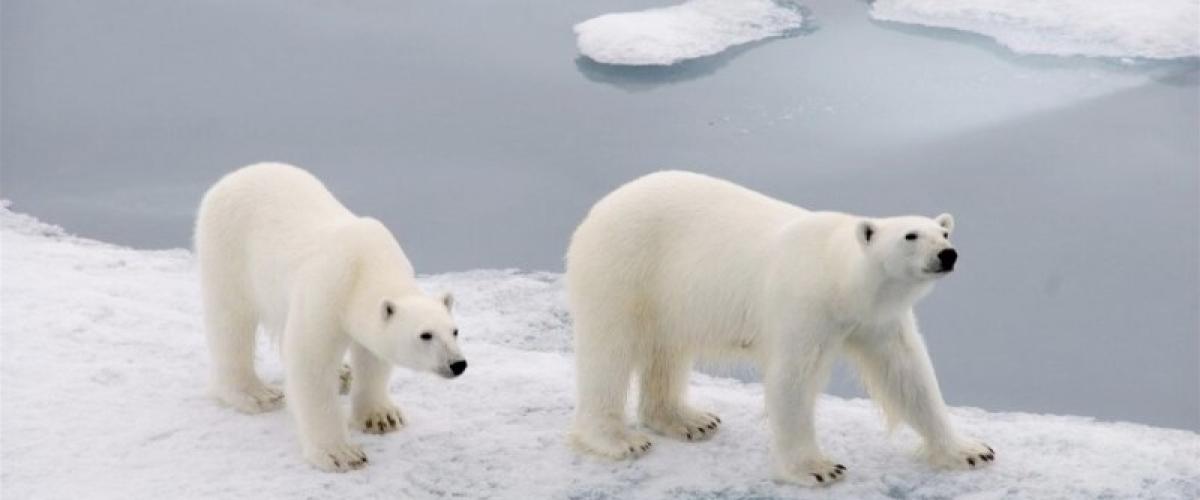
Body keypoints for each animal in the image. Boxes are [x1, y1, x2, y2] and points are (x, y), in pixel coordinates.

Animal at [194, 163, 465, 472]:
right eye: (425, 335)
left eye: (454, 331)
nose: (458, 364)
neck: (366, 265)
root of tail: (234, 176)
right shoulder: (327, 290)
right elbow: (310, 362)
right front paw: (340, 453)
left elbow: (372, 358)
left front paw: (381, 416)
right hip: (228, 250)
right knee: (231, 322)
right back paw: (255, 393)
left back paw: (343, 375)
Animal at [566, 170, 998, 484]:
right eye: (911, 235)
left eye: (944, 232)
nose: (948, 253)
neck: (838, 276)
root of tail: (597, 210)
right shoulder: (803, 309)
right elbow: (792, 381)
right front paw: (818, 468)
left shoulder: (876, 320)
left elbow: (909, 376)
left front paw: (971, 450)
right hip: (625, 269)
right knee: (609, 353)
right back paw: (617, 440)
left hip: (670, 296)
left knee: (666, 352)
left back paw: (689, 420)